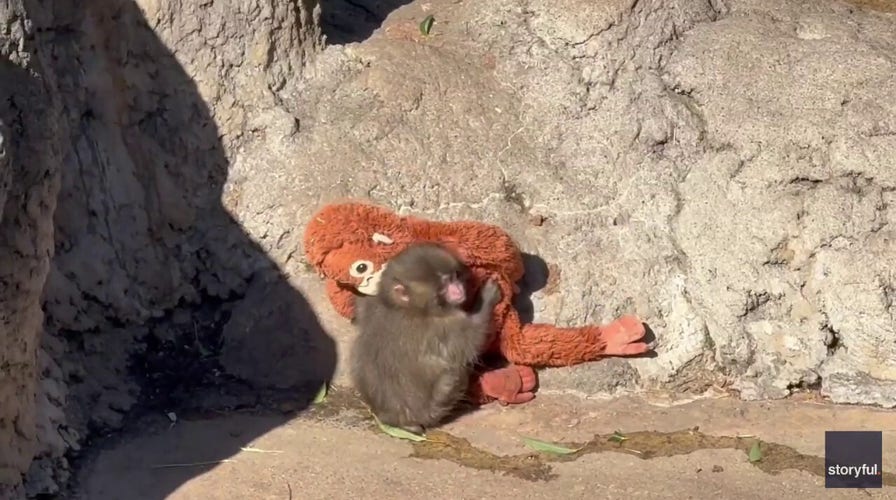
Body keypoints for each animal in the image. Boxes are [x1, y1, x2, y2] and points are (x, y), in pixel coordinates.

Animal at [349, 242, 502, 435]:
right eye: (444, 284)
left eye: (453, 277)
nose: (458, 289)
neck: (408, 306)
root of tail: (391, 419)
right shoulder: (443, 326)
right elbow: (471, 342)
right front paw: (487, 297)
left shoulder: (371, 302)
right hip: (435, 406)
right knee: (453, 374)